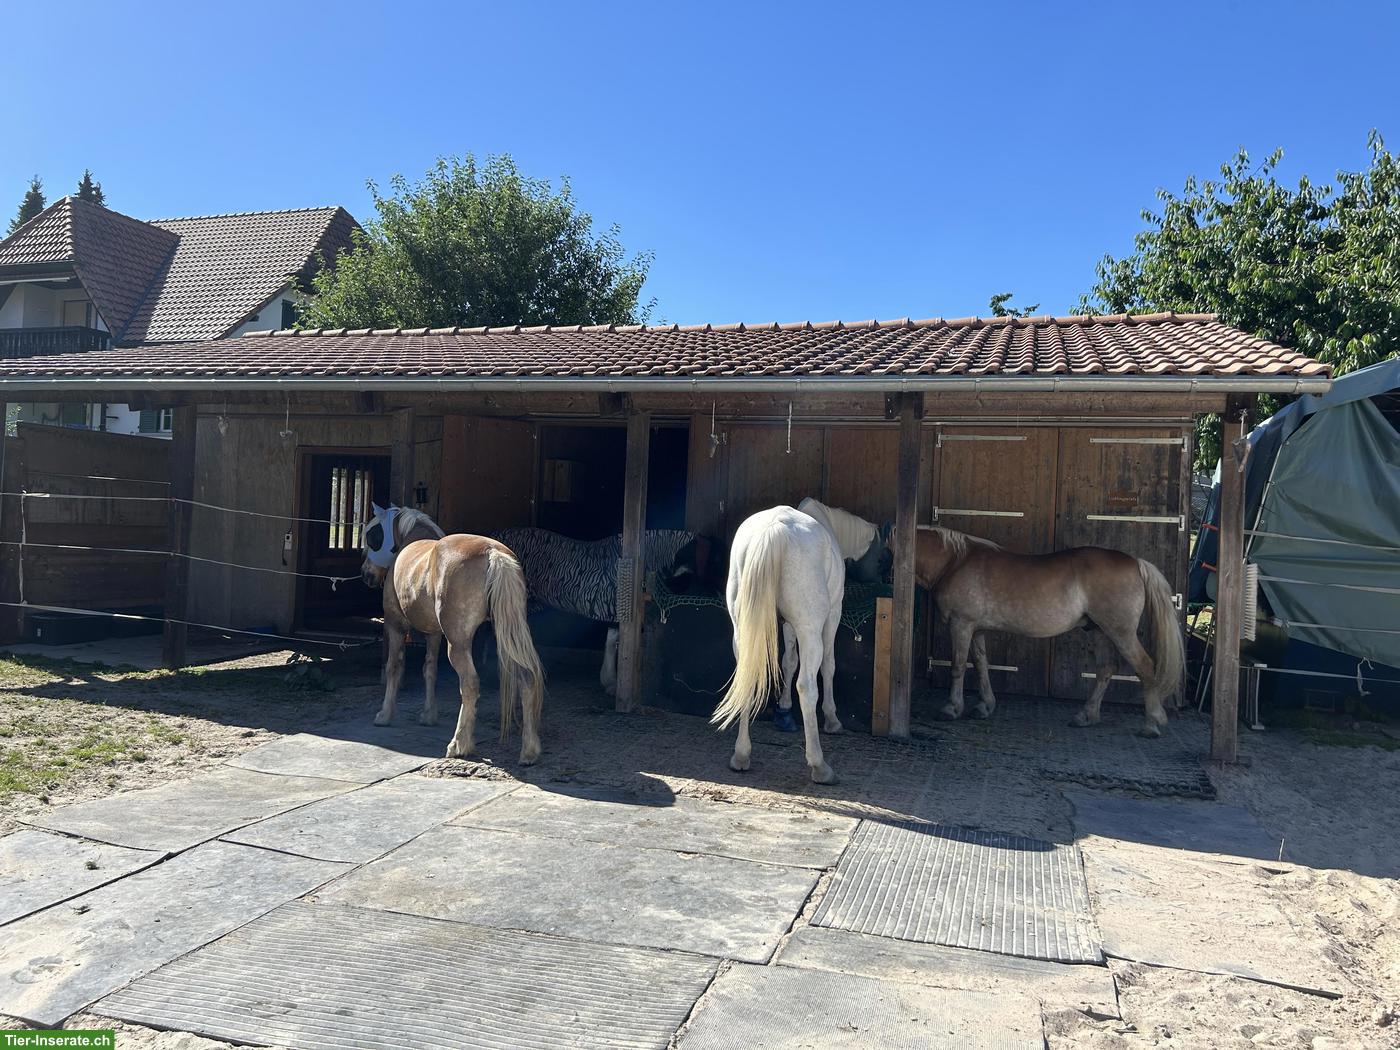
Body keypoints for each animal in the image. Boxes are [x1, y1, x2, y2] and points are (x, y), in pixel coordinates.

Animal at [361, 504, 544, 764]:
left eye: (371, 535)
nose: (366, 574)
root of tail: (493, 554)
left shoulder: (395, 625)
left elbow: (394, 667)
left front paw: (385, 715)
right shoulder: (434, 634)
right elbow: (430, 670)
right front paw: (428, 715)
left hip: (458, 643)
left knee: (470, 683)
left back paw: (459, 745)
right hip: (508, 634)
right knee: (526, 677)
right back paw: (529, 751)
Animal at [711, 505, 845, 784]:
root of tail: (774, 529)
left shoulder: (787, 625)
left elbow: (789, 660)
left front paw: (784, 709)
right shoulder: (832, 614)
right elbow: (828, 665)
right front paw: (832, 719)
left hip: (743, 630)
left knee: (747, 677)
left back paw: (741, 756)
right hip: (810, 629)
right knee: (807, 686)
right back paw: (820, 766)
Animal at [902, 525, 1184, 737]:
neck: (955, 561)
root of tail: (1136, 562)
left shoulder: (961, 624)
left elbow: (958, 666)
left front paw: (951, 708)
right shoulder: (976, 629)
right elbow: (981, 665)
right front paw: (985, 706)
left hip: (1120, 632)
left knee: (1146, 668)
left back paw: (1151, 723)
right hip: (1099, 631)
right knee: (1106, 669)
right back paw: (1086, 716)